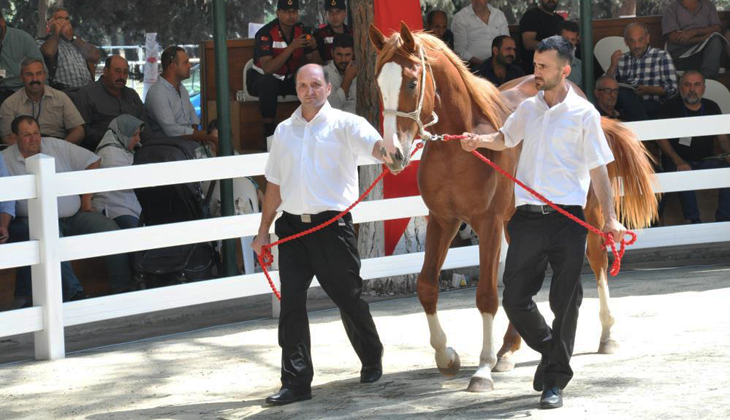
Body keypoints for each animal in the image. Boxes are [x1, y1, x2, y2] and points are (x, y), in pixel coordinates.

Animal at [366, 21, 656, 392]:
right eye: (378, 83)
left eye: (412, 82)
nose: (393, 153)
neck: (457, 149)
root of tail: (580, 95)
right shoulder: (443, 220)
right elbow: (427, 286)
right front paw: (447, 357)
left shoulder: (487, 222)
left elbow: (487, 295)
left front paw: (482, 369)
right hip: (513, 222)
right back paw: (508, 350)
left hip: (588, 211)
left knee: (598, 260)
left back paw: (606, 335)